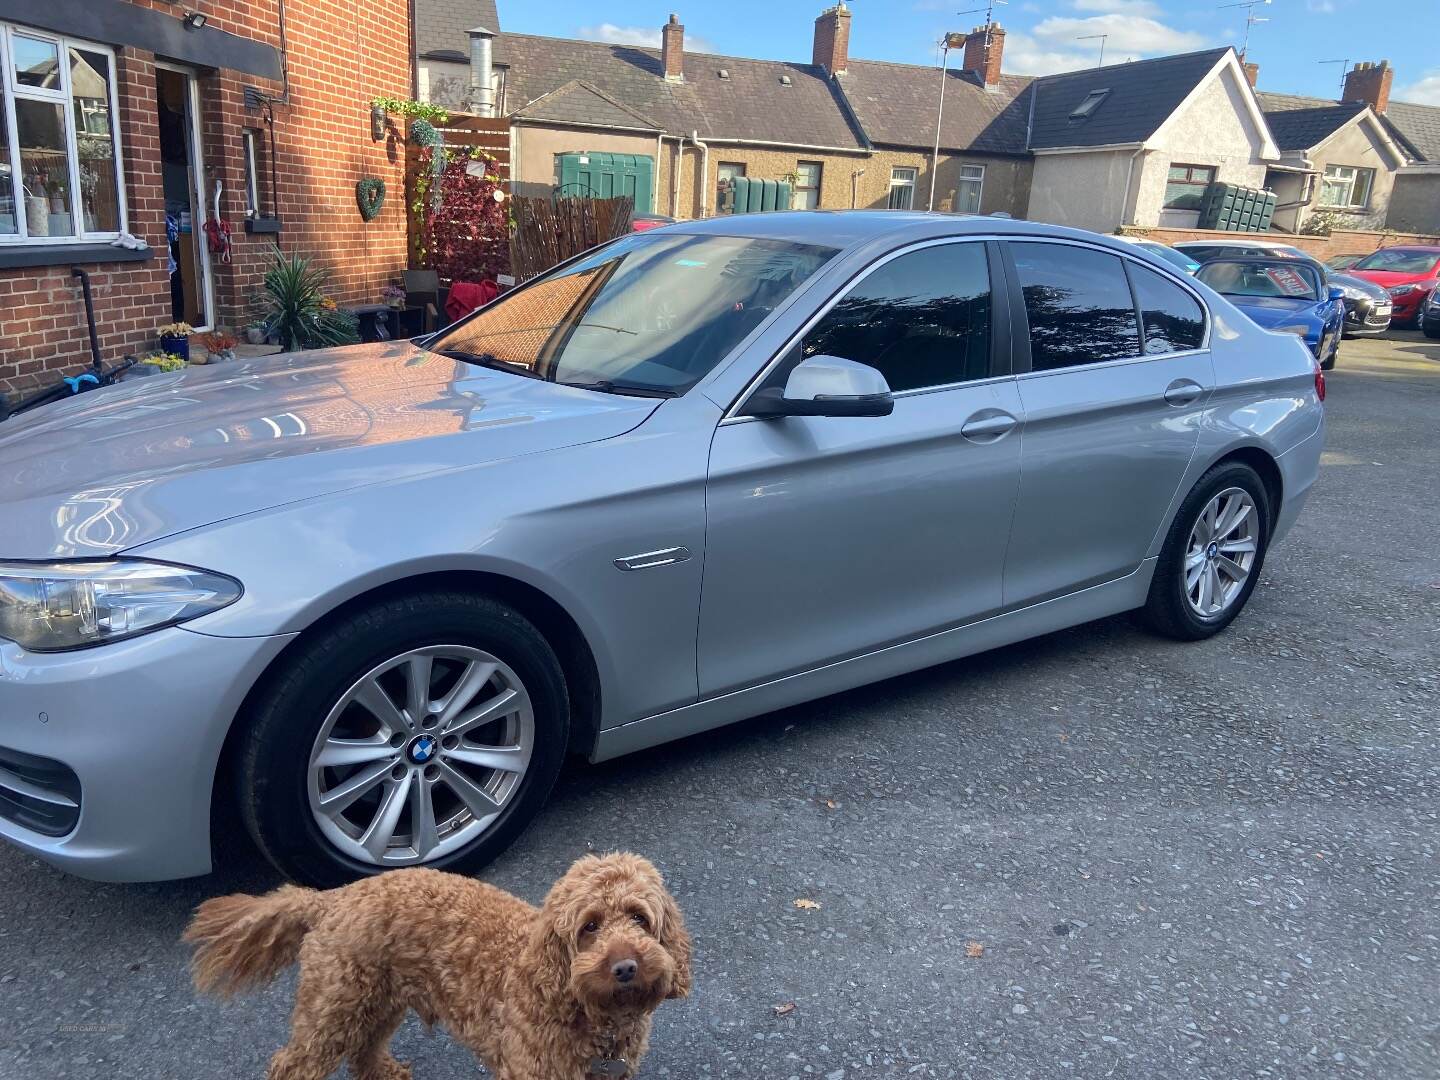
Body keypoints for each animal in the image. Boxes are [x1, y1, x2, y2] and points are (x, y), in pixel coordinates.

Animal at [182, 852, 688, 1080]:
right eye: (589, 926)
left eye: (640, 918)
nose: (625, 966)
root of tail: (332, 898)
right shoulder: (532, 1070)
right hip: (332, 1006)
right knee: (296, 1063)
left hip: (377, 996)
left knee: (364, 1049)